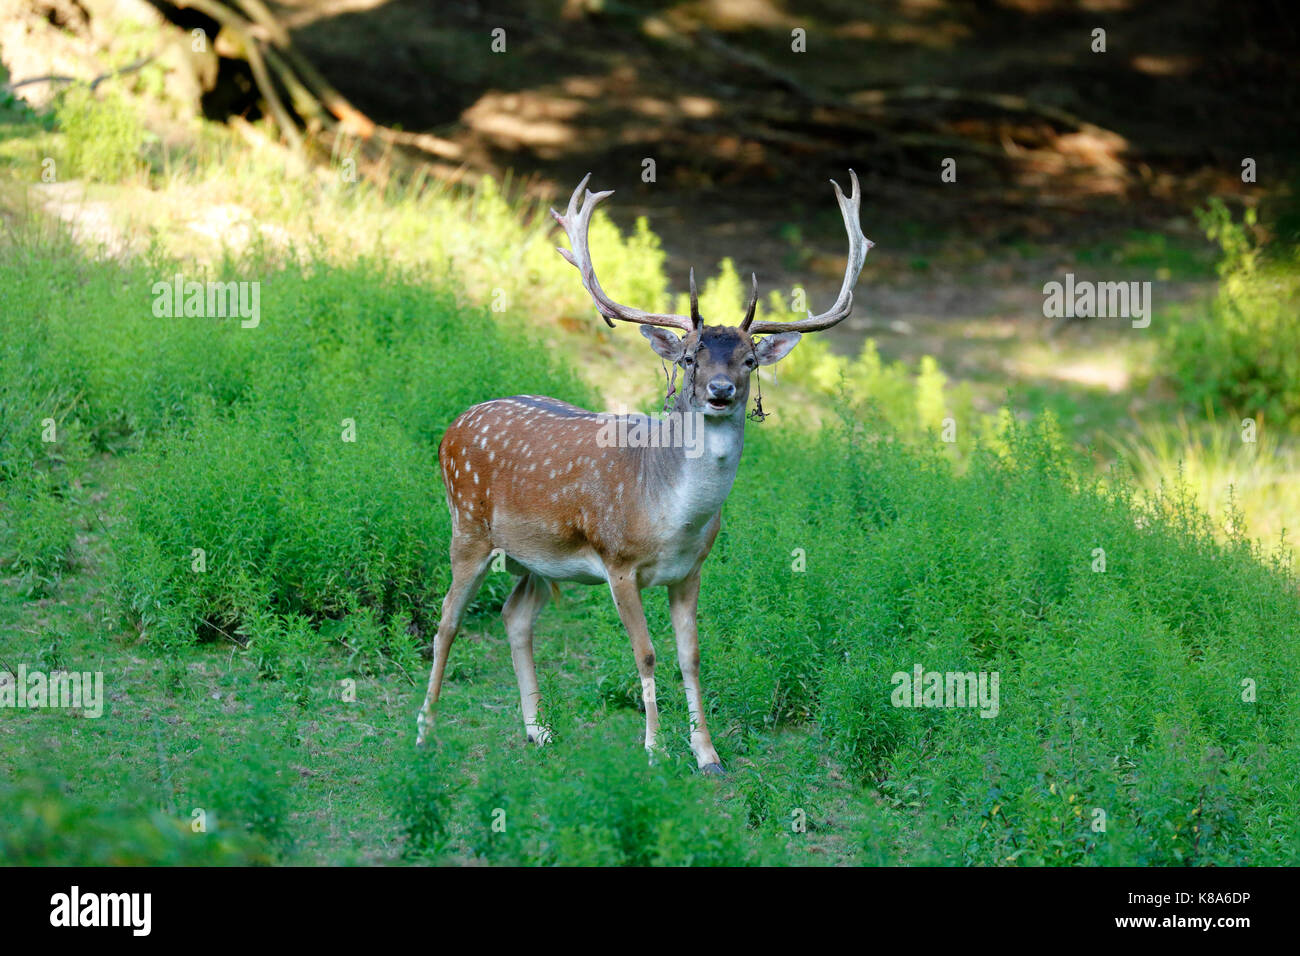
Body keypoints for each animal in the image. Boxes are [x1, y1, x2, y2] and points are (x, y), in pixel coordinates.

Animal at [413, 170, 873, 770]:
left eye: (748, 360)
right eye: (690, 358)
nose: (721, 391)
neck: (671, 518)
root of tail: (454, 425)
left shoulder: (692, 570)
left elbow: (691, 656)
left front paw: (707, 754)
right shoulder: (618, 561)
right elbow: (648, 652)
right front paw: (654, 748)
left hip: (537, 556)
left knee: (515, 615)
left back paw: (539, 730)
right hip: (466, 524)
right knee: (447, 621)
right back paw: (425, 731)